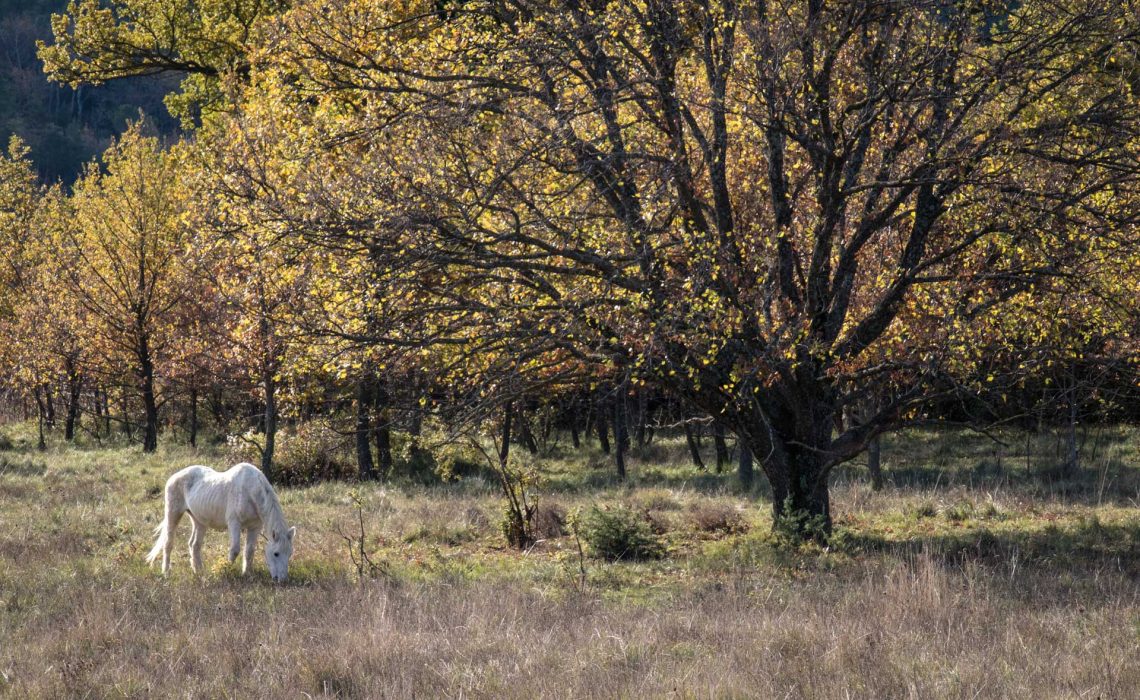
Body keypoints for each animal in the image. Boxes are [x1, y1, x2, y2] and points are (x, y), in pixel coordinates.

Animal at [144, 462, 296, 583]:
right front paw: (224, 571)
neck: (250, 491)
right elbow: (235, 550)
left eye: (289, 554)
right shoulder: (234, 523)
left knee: (194, 545)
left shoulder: (255, 527)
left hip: (199, 521)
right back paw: (166, 572)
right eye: (276, 553)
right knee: (168, 543)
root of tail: (173, 477)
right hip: (173, 514)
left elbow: (249, 551)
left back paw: (199, 572)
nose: (283, 580)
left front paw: (246, 574)